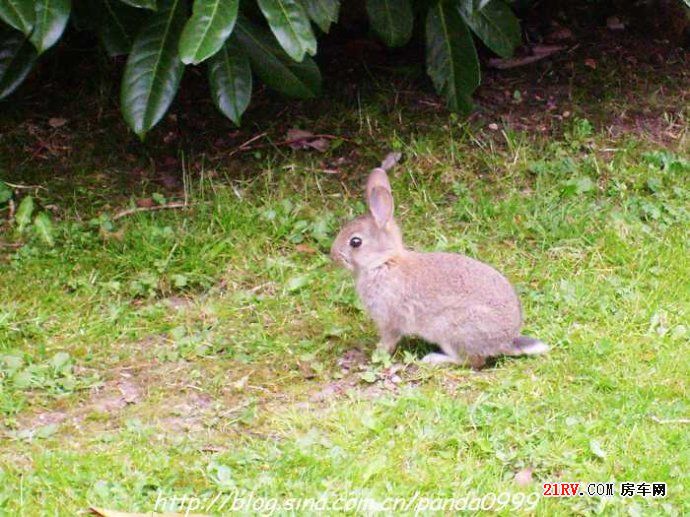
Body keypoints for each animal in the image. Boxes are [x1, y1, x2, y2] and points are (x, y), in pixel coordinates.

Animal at [330, 153, 548, 366]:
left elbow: (389, 340)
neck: (383, 262)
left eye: (355, 242)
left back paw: (433, 359)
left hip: (452, 329)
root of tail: (505, 340)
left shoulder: (390, 319)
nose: (333, 256)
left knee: (471, 361)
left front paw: (375, 354)